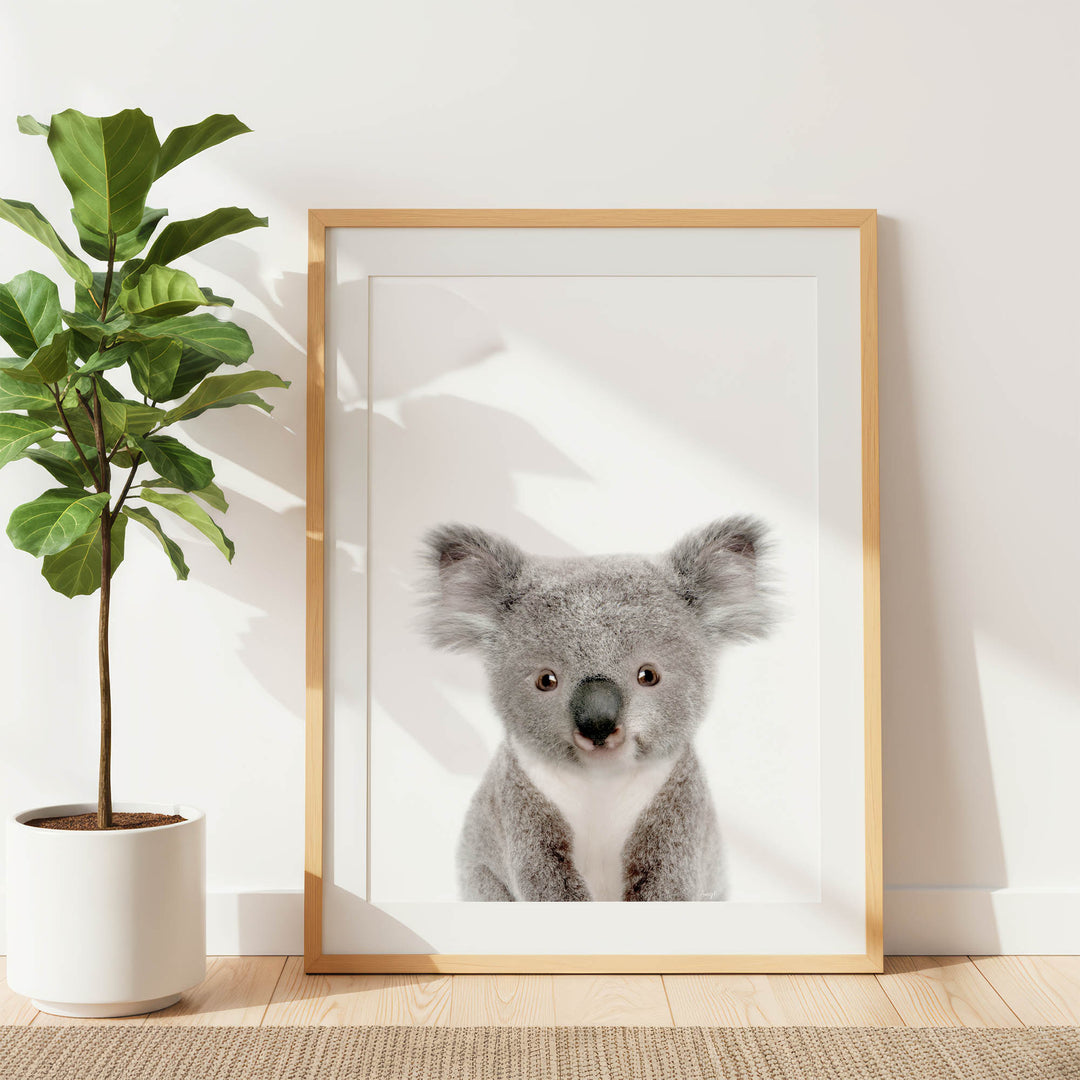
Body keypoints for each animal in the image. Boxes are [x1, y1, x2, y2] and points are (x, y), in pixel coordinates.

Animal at [420, 517, 775, 902]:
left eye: (648, 675)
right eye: (546, 680)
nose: (598, 725)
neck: (601, 781)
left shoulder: (679, 808)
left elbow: (667, 881)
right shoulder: (519, 805)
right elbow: (544, 879)